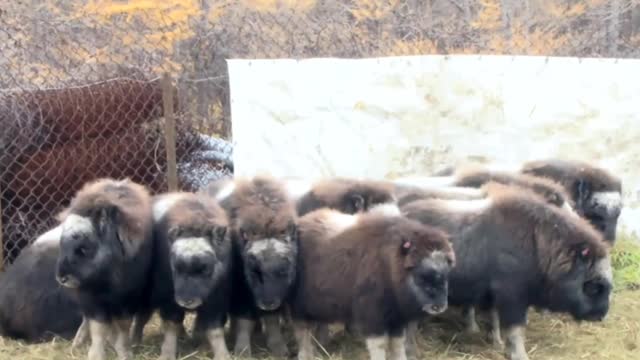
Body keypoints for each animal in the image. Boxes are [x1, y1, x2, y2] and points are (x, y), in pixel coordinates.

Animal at [54, 178, 154, 360]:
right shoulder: (93, 301)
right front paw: (96, 355)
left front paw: (125, 352)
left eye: (83, 248)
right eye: (61, 244)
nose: (61, 277)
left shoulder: (127, 300)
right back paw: (77, 344)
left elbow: (123, 326)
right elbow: (99, 329)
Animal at [210, 175, 300, 358]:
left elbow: (272, 319)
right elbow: (245, 319)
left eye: (283, 268)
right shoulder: (241, 289)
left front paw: (279, 348)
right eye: (253, 269)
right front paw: (243, 350)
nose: (267, 303)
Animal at [290, 205, 456, 360]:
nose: (439, 307)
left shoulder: (396, 318)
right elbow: (379, 345)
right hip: (300, 307)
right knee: (303, 332)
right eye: (420, 275)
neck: (389, 265)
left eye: (446, 272)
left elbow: (397, 344)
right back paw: (306, 355)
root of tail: (302, 221)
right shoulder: (373, 315)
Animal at [402, 183, 612, 360]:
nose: (600, 316)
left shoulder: (496, 296)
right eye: (594, 286)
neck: (540, 244)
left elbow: (495, 320)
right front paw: (519, 355)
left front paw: (496, 342)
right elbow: (515, 331)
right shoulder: (513, 299)